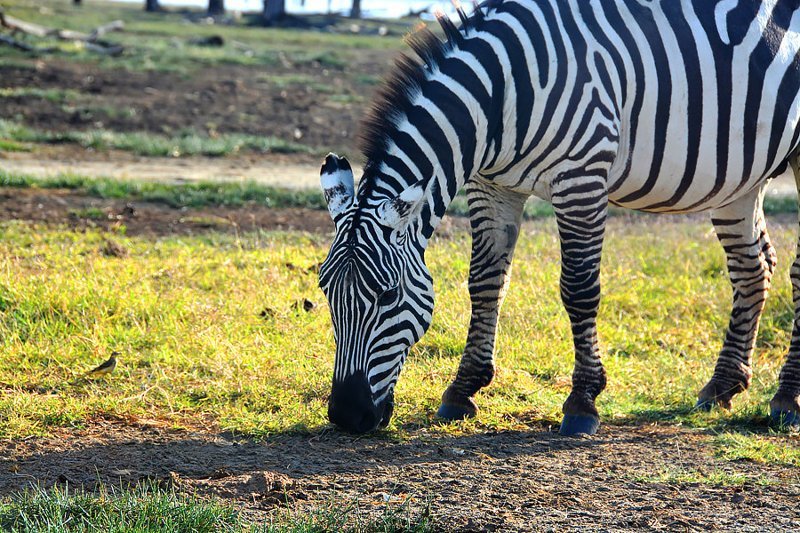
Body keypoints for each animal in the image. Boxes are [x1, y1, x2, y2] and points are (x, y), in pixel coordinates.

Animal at [316, 0, 800, 434]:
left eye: (388, 296)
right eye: (325, 293)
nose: (347, 416)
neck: (503, 95)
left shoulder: (581, 177)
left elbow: (579, 289)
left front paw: (583, 400)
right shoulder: (491, 185)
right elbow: (484, 283)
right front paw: (463, 390)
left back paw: (786, 399)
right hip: (740, 174)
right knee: (753, 267)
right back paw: (722, 386)